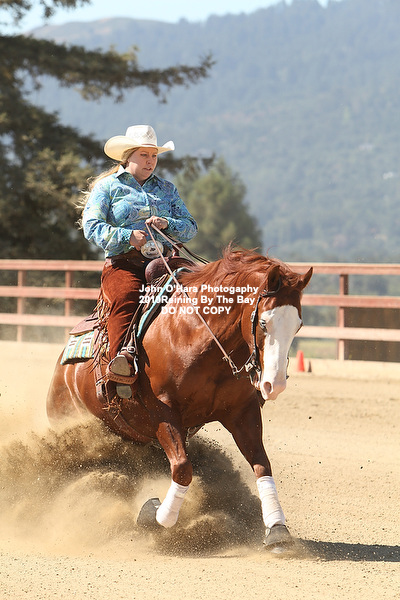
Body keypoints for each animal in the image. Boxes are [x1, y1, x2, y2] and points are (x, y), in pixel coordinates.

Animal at [47, 247, 312, 551]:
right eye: (265, 322)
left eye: (298, 325)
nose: (274, 384)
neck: (198, 337)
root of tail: (63, 370)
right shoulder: (163, 411)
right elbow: (183, 469)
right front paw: (153, 515)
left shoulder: (241, 412)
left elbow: (261, 464)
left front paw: (278, 530)